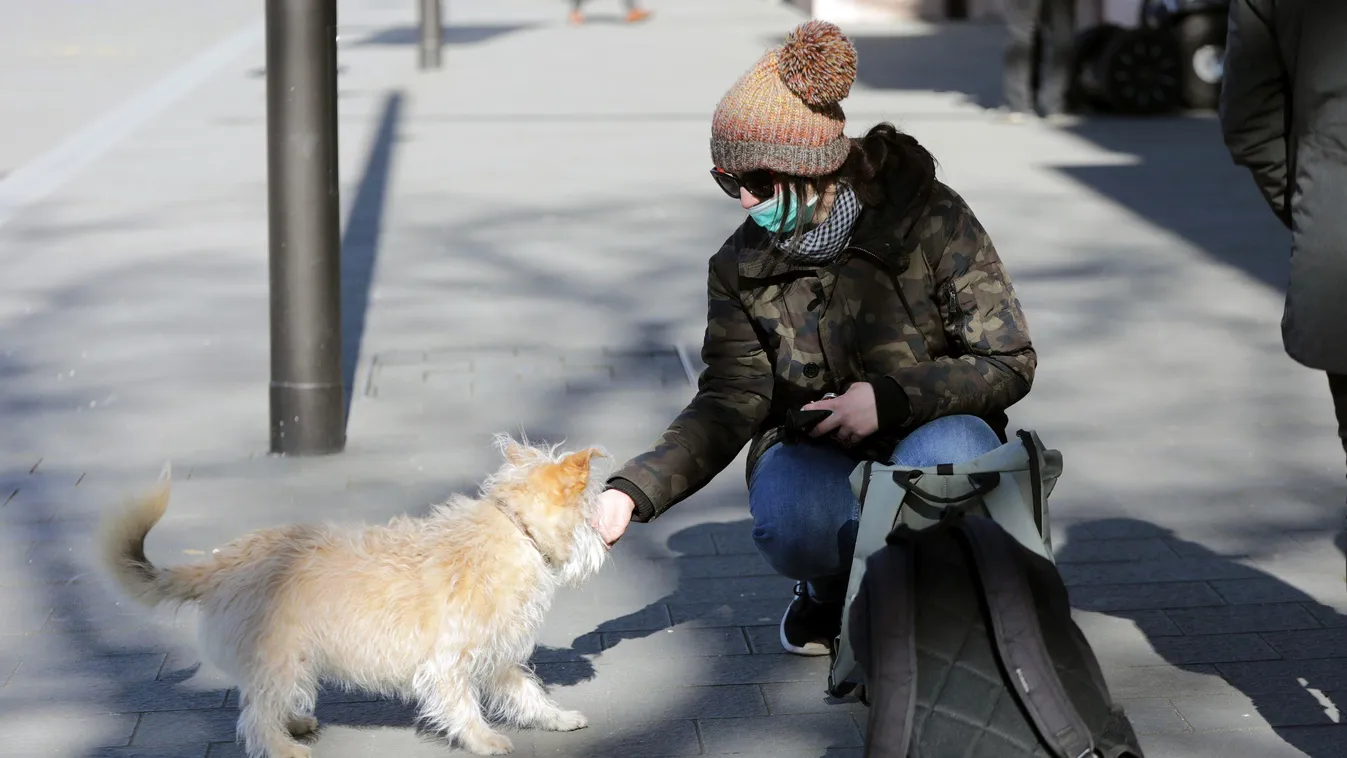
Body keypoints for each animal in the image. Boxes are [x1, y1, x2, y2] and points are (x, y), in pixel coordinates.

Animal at [99, 436, 611, 753]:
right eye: (591, 508)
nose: (607, 542)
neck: (515, 532)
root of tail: (221, 561)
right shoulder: (449, 663)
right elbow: (463, 706)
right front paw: (483, 741)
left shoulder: (498, 657)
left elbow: (528, 694)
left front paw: (557, 718)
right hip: (284, 656)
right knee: (255, 716)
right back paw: (283, 748)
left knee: (263, 701)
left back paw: (294, 724)